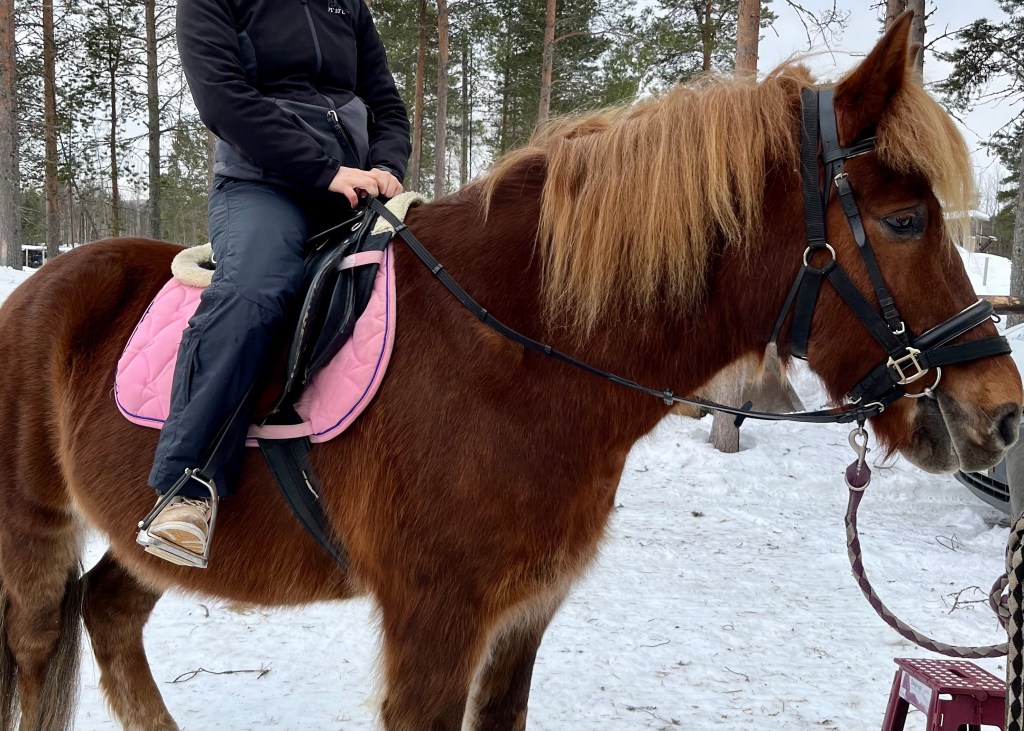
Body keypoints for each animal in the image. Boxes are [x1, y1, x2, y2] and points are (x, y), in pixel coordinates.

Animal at [0, 14, 1019, 731]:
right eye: (904, 221)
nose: (1002, 413)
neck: (516, 353)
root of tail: (41, 283)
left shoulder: (524, 613)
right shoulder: (435, 624)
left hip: (144, 536)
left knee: (112, 614)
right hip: (38, 526)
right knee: (44, 639)